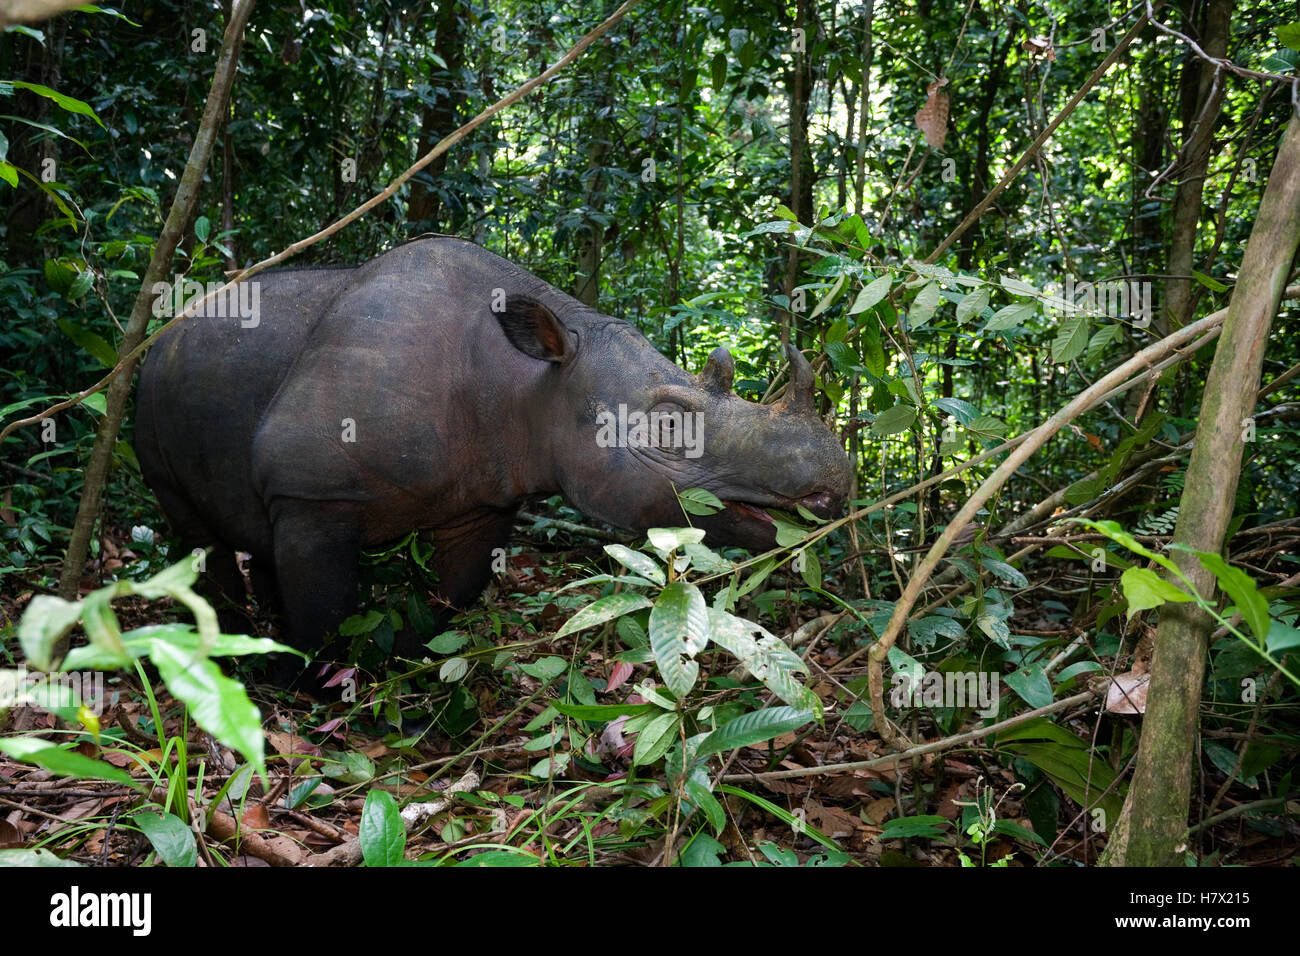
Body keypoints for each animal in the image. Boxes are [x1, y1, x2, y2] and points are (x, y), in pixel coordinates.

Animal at [134, 237, 851, 667]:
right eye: (672, 427)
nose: (835, 483)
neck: (534, 377)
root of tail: (165, 331)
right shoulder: (312, 490)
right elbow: (325, 614)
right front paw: (314, 688)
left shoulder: (481, 497)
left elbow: (456, 594)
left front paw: (412, 656)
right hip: (150, 385)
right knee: (196, 532)